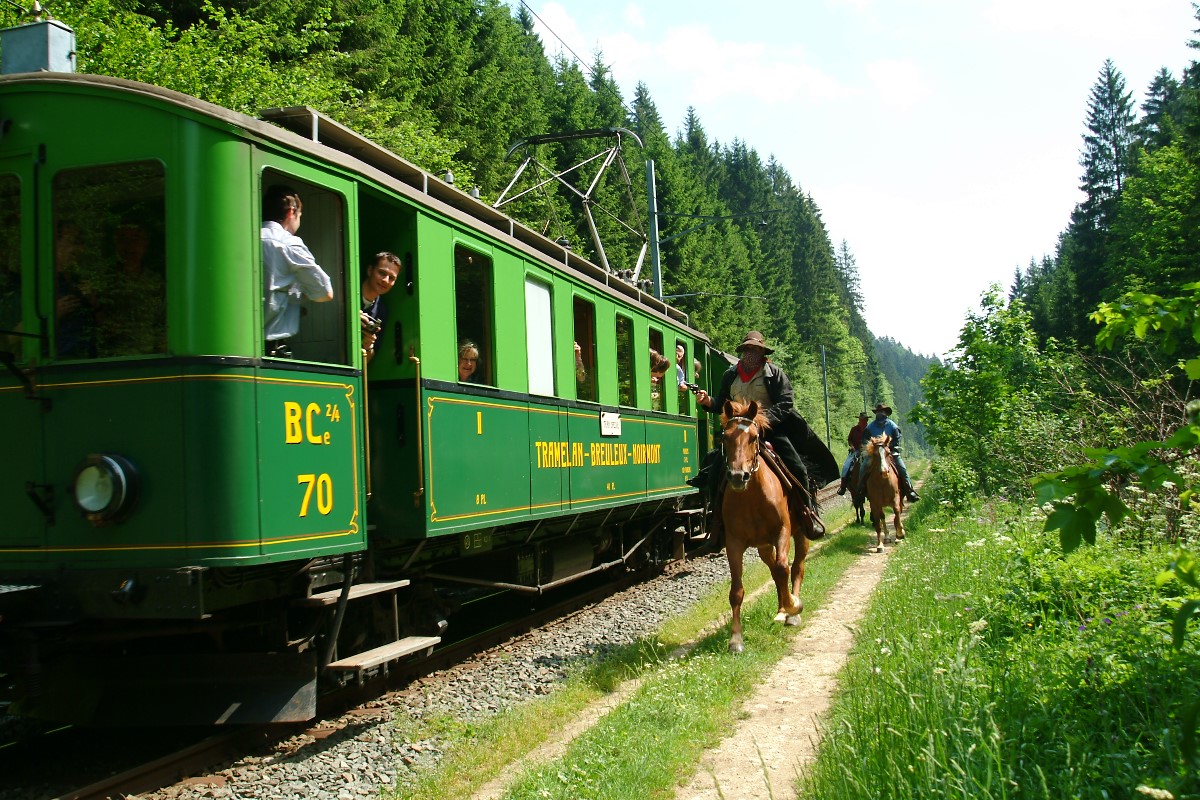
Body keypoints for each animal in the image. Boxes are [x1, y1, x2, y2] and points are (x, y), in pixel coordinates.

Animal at [718, 399, 811, 653]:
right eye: (725, 437)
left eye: (753, 437)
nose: (738, 476)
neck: (752, 497)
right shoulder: (734, 543)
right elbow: (736, 591)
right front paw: (736, 639)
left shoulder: (782, 532)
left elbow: (783, 568)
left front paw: (794, 606)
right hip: (763, 546)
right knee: (775, 570)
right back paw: (780, 611)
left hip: (801, 534)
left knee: (795, 567)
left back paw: (791, 612)